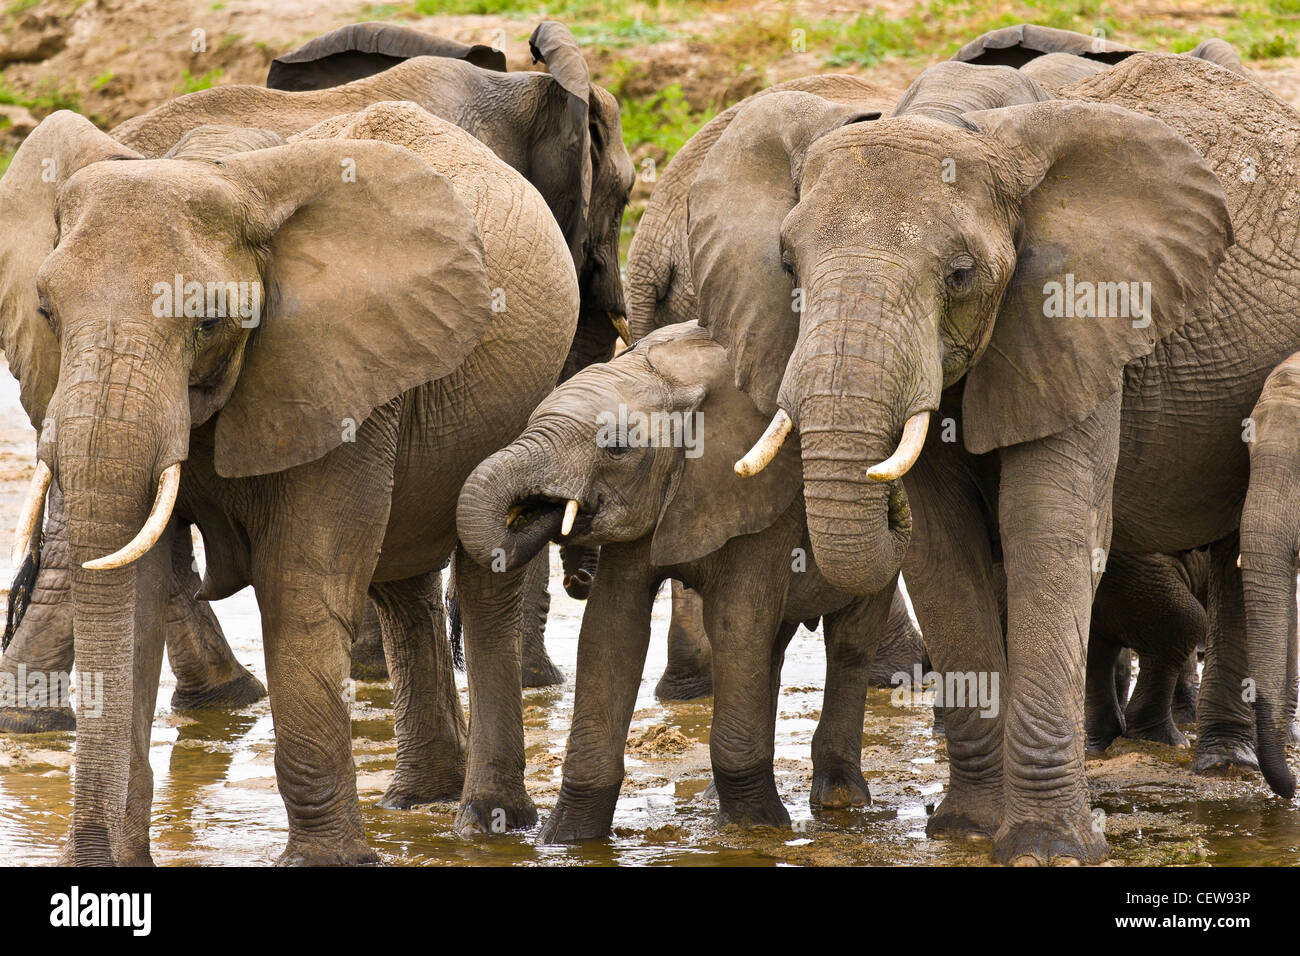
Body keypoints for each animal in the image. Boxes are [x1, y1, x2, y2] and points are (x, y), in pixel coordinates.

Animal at [0, 99, 580, 864]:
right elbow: (140, 586)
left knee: (484, 580)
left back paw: (486, 820)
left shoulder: (340, 369)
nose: (89, 856)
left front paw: (327, 862)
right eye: (47, 313)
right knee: (403, 584)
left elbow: (301, 587)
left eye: (208, 321)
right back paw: (418, 799)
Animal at [457, 322, 917, 840]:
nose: (541, 511)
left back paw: (840, 799)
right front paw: (567, 839)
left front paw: (757, 827)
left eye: (617, 446)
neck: (673, 380)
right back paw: (716, 797)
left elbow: (735, 622)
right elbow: (612, 629)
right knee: (771, 650)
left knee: (848, 643)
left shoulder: (761, 497)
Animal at [666, 48, 1300, 864]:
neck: (956, 120)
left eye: (961, 274)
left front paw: (1045, 849)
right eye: (786, 262)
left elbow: (1048, 530)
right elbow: (940, 547)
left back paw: (1223, 764)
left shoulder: (1083, 315)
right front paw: (965, 827)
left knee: (1231, 552)